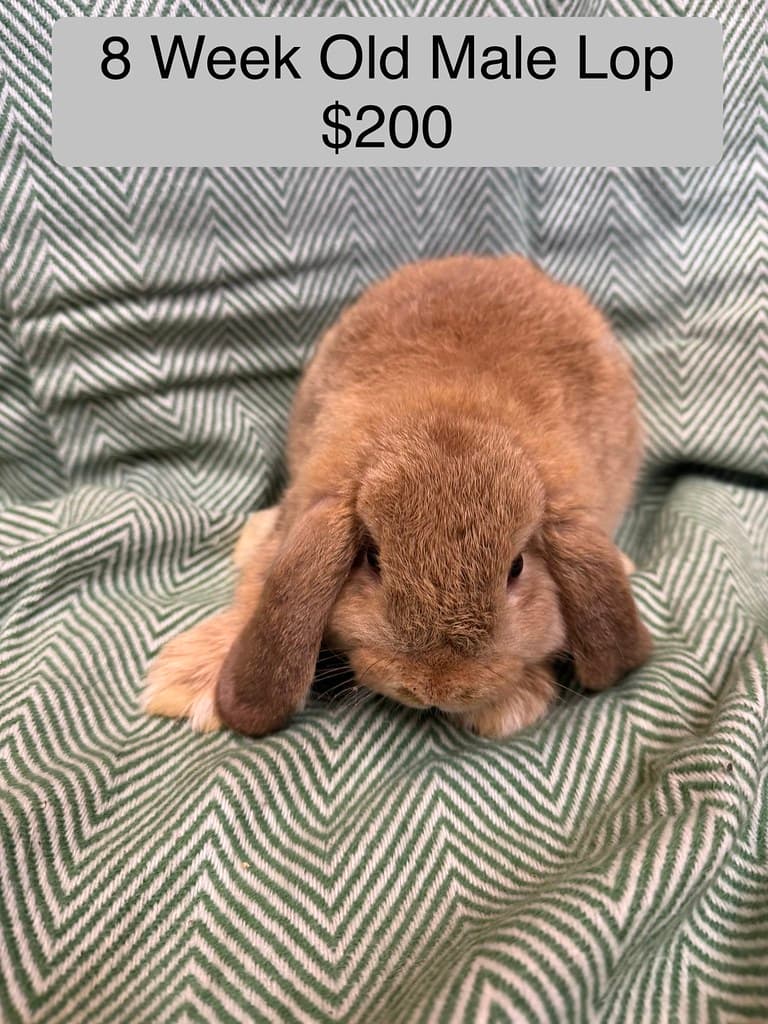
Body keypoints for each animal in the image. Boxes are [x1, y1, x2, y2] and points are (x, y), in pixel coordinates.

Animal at [143, 255, 651, 740]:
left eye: (517, 567)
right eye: (373, 560)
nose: (434, 688)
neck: (452, 409)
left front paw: (509, 706)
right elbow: (255, 591)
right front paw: (189, 682)